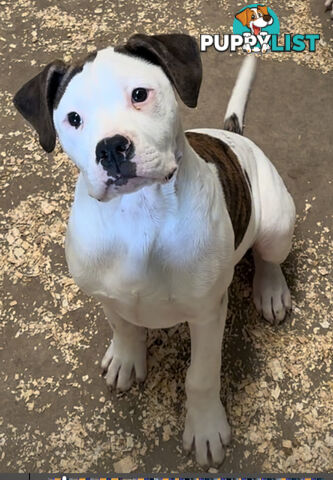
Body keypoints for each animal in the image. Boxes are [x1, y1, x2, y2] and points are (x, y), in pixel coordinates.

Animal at [13, 33, 294, 468]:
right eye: (73, 118)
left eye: (140, 95)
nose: (111, 147)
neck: (138, 212)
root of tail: (235, 136)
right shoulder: (107, 294)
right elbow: (124, 326)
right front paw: (127, 358)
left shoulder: (207, 312)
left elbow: (201, 377)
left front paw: (205, 428)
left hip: (277, 221)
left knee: (269, 257)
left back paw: (271, 291)